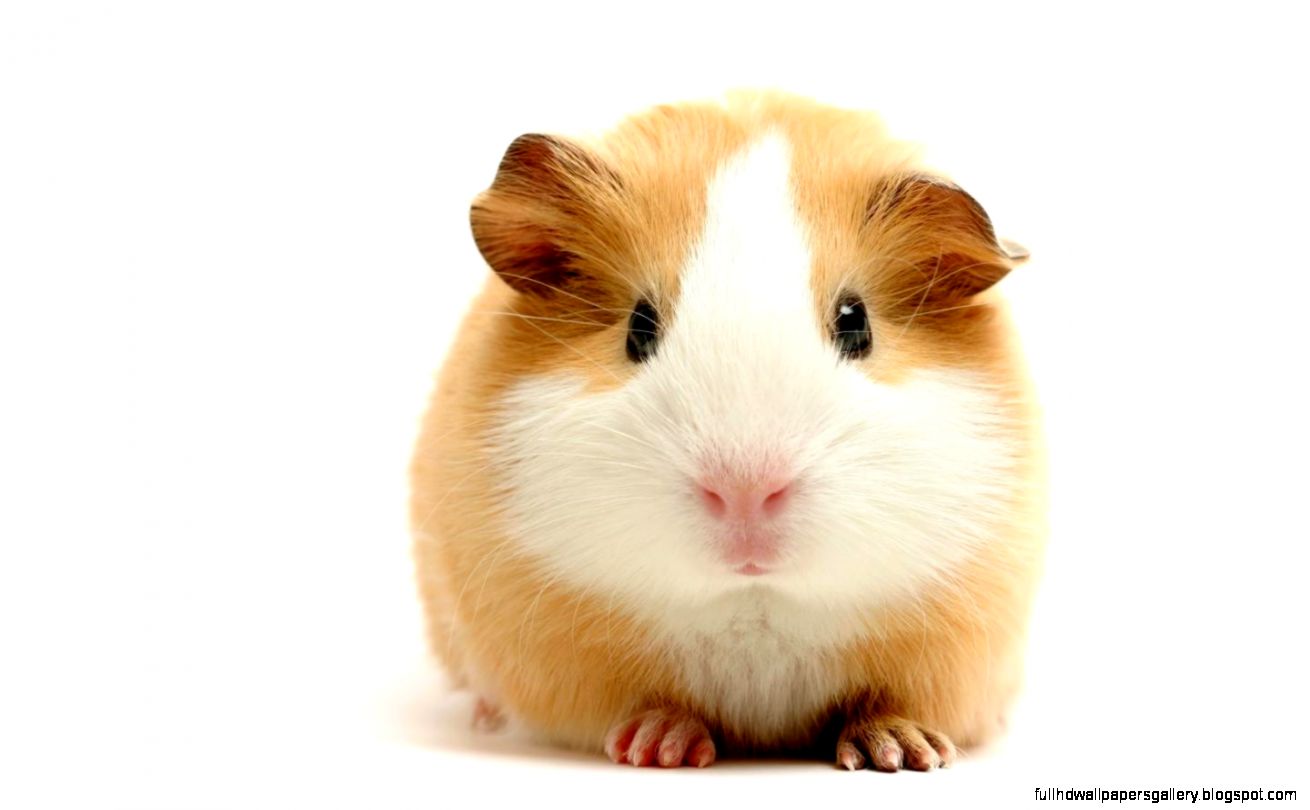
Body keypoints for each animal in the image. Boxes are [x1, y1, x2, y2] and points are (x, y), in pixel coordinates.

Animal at [411, 91, 1046, 771]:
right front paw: (658, 747)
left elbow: (885, 703)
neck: (754, 605)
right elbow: (647, 705)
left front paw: (904, 753)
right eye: (638, 328)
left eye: (856, 324)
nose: (745, 492)